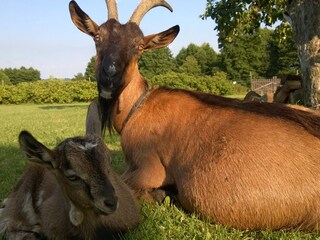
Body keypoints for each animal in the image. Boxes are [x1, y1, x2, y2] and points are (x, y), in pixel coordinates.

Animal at [69, 0, 320, 231]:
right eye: (97, 37)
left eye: (139, 46)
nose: (109, 75)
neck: (138, 107)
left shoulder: (150, 168)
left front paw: (161, 194)